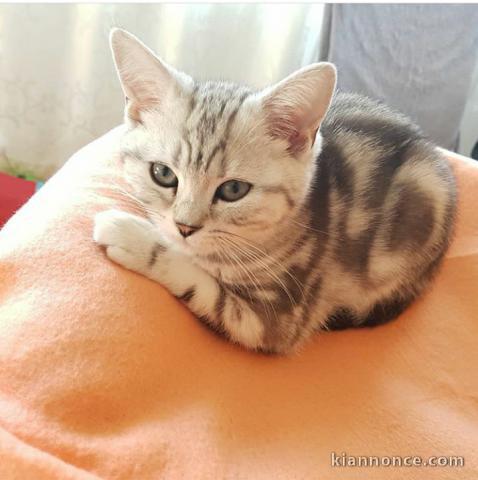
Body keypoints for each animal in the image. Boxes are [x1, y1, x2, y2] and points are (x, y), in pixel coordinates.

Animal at [93, 29, 456, 352]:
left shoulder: (279, 318)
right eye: (164, 174)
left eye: (234, 189)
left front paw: (133, 237)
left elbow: (205, 285)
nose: (185, 227)